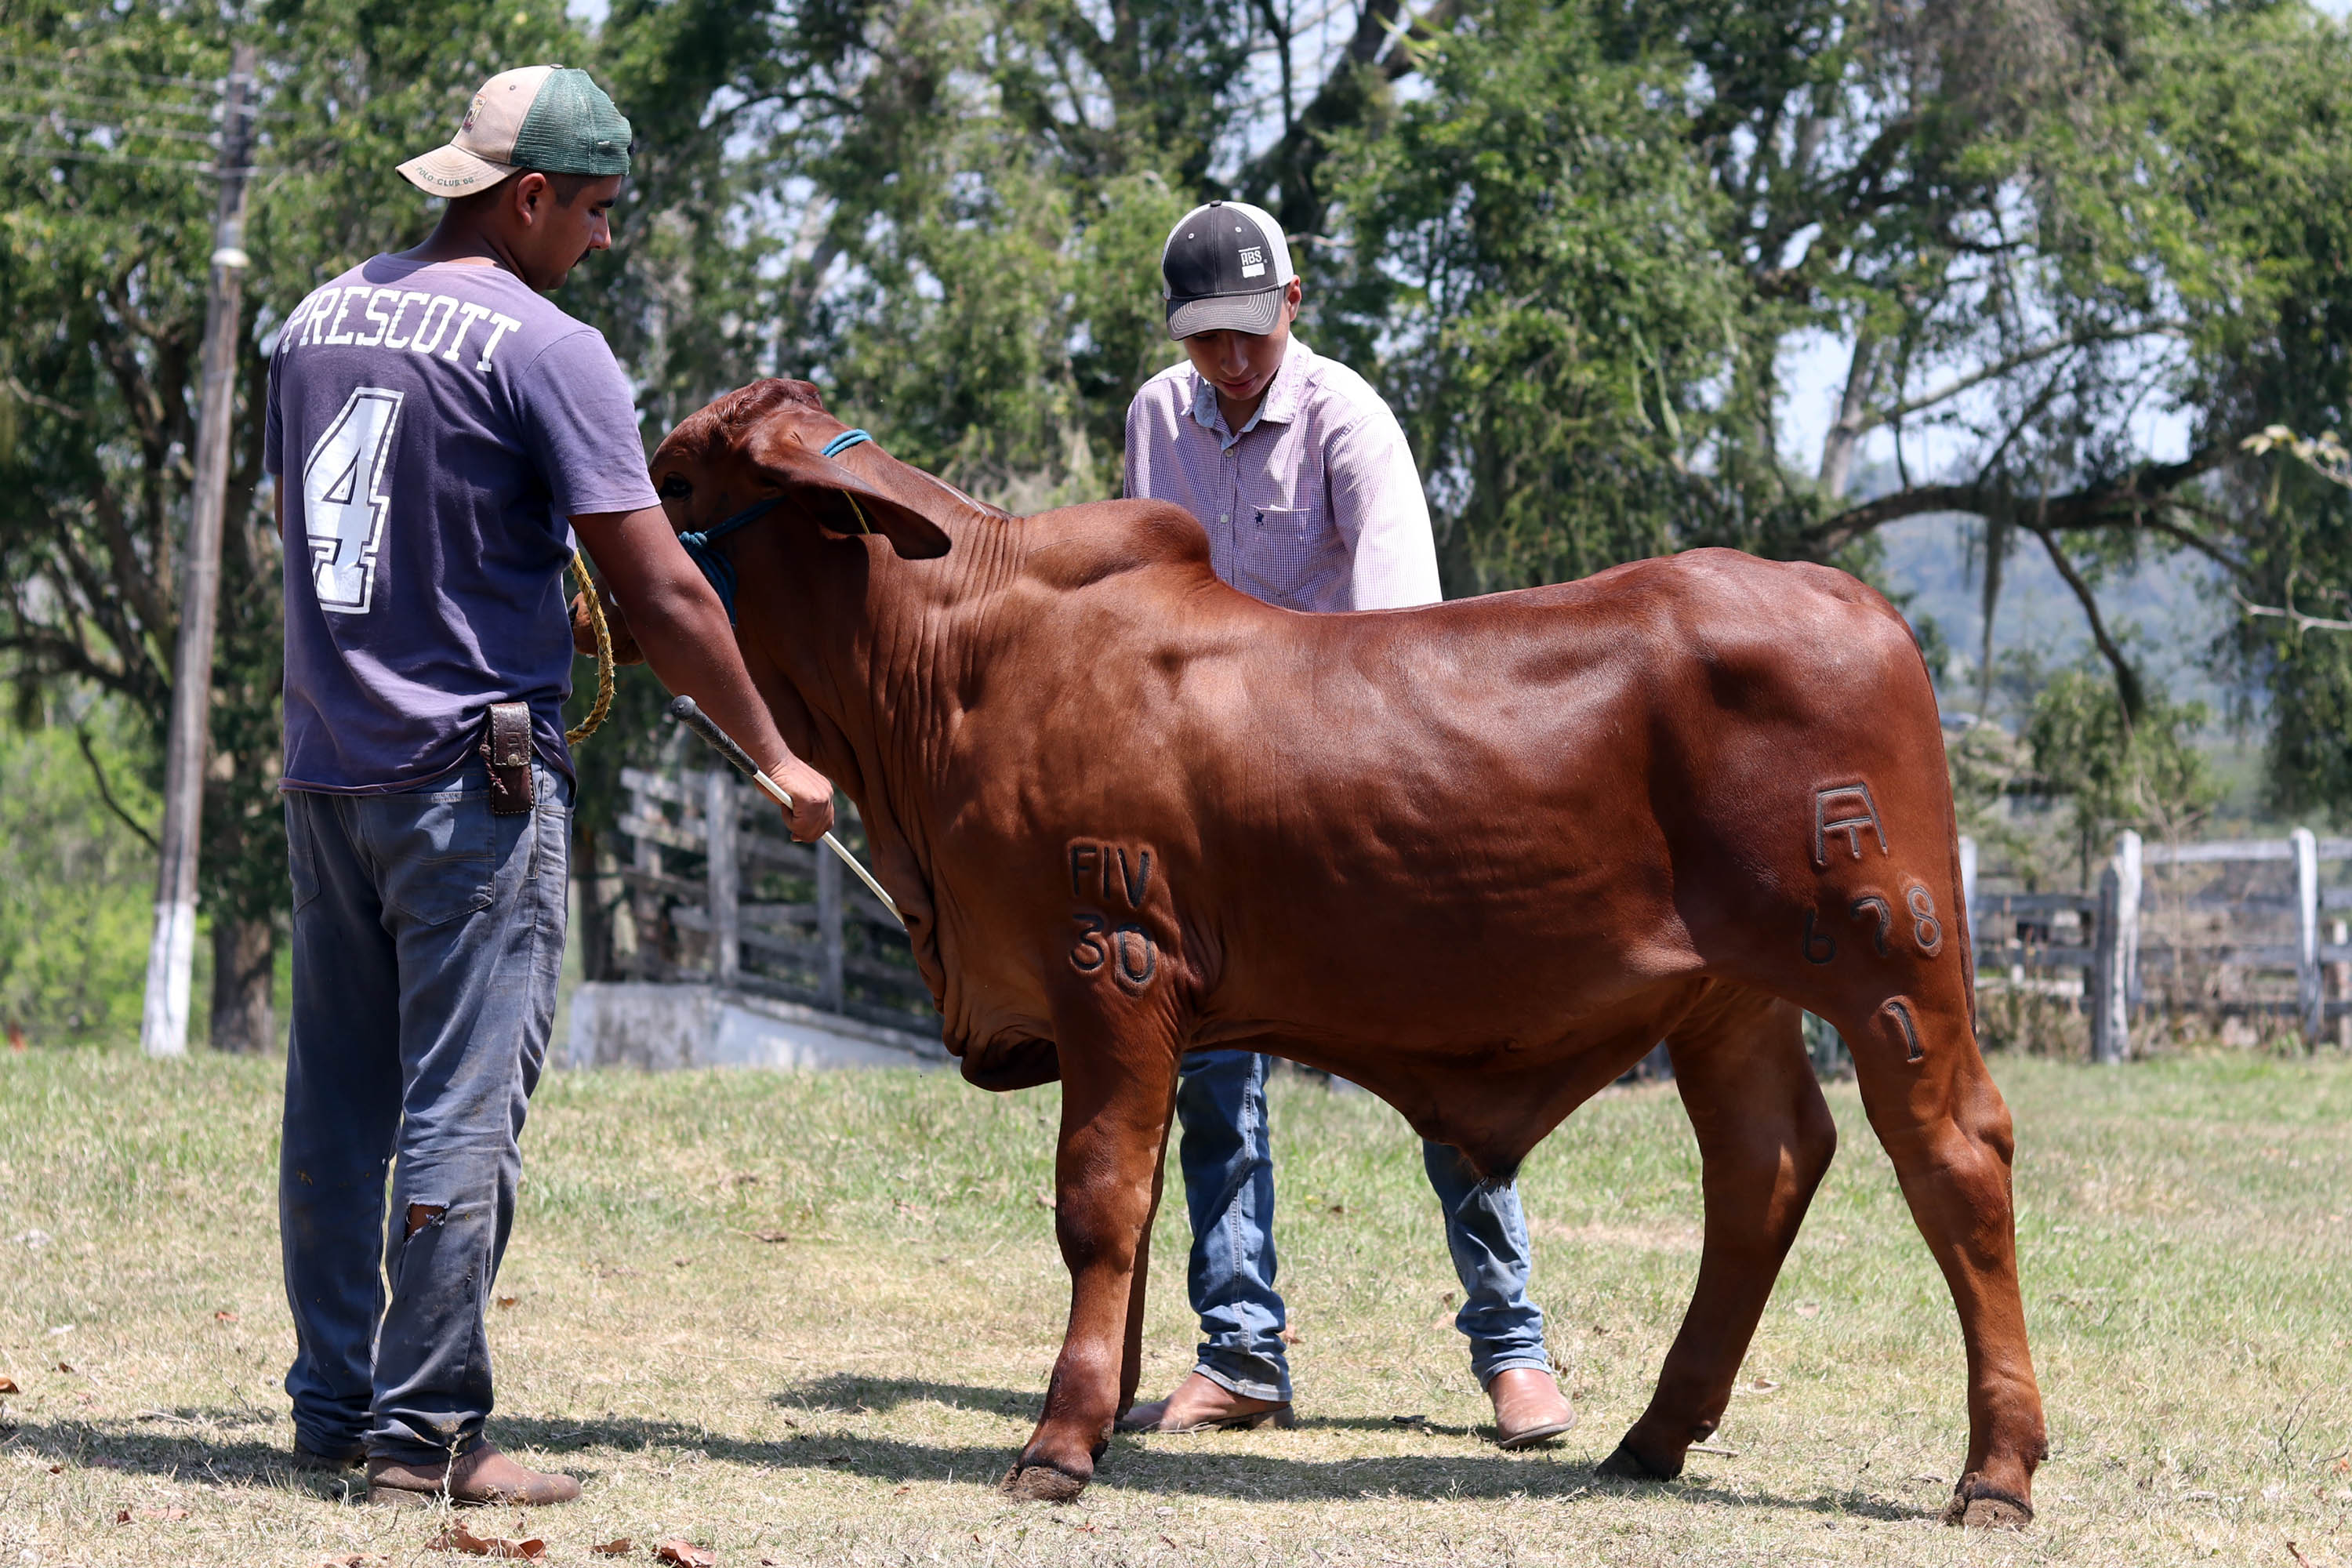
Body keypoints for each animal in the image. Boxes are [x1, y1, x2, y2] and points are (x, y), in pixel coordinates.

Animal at [621, 380, 2042, 1533]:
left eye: (678, 477)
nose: (613, 538)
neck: (947, 669)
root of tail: (1846, 597)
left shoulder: (1110, 966)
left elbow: (1099, 1202)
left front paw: (1058, 1443)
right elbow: (1145, 1210)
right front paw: (1111, 1412)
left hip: (1889, 961)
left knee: (1955, 1161)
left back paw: (1996, 1472)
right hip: (1726, 999)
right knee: (1765, 1167)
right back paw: (1652, 1437)